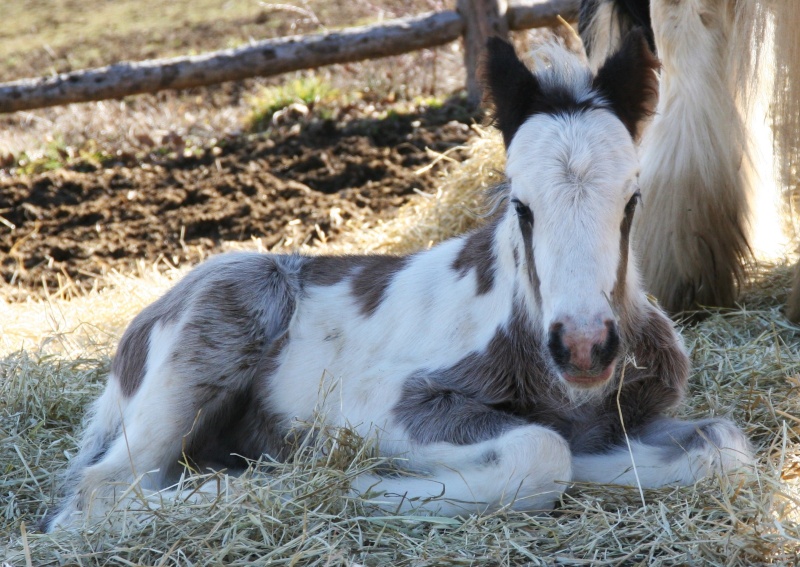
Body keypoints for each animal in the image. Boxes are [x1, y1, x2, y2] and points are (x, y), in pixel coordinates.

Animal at [43, 33, 752, 532]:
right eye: (521, 205)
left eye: (633, 200)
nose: (583, 347)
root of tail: (134, 335)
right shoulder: (377, 401)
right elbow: (542, 454)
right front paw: (356, 484)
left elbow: (722, 449)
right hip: (218, 322)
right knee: (97, 494)